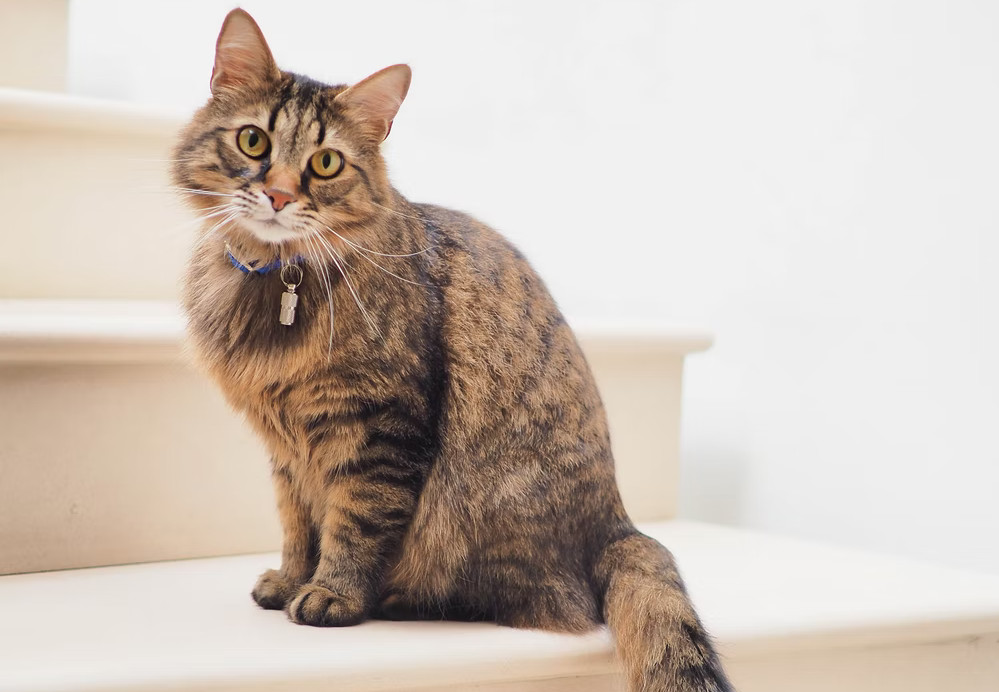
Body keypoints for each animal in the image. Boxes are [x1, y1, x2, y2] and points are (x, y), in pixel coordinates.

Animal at [172, 10, 736, 692]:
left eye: (326, 163)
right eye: (254, 142)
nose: (279, 196)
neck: (274, 280)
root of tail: (619, 525)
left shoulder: (381, 426)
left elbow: (353, 524)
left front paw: (331, 595)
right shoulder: (286, 448)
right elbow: (297, 524)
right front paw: (288, 580)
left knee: (524, 601)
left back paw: (395, 600)